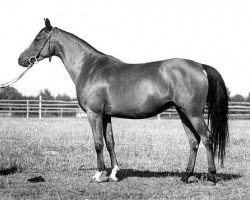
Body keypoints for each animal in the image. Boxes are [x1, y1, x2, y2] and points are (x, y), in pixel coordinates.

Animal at [17, 18, 229, 184]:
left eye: (37, 38)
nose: (21, 59)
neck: (90, 67)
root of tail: (200, 66)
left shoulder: (94, 114)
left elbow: (98, 143)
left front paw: (98, 175)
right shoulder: (106, 116)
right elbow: (110, 142)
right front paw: (113, 174)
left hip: (194, 114)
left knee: (207, 138)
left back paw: (211, 176)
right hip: (182, 112)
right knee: (193, 141)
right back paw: (185, 176)